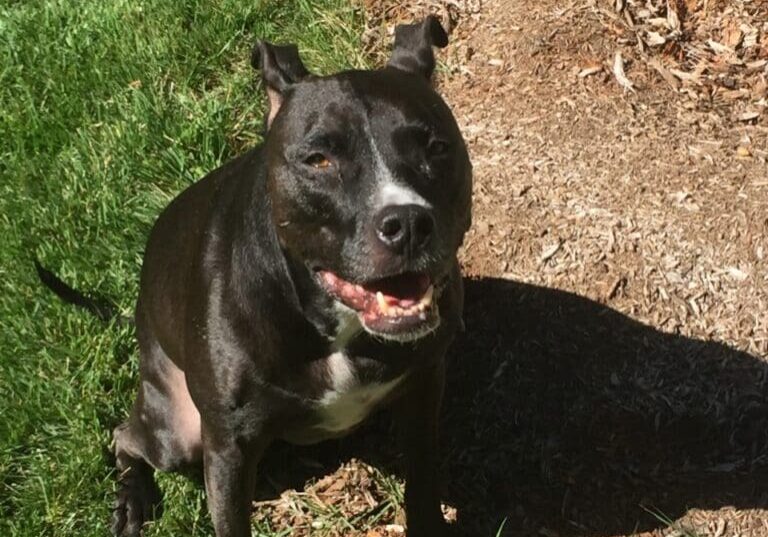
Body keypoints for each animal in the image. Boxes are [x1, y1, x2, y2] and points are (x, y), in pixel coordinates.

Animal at [42, 16, 474, 536]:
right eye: (318, 160)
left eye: (436, 148)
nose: (407, 223)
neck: (334, 324)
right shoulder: (229, 448)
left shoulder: (426, 385)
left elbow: (423, 487)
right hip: (179, 434)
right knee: (125, 435)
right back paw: (131, 500)